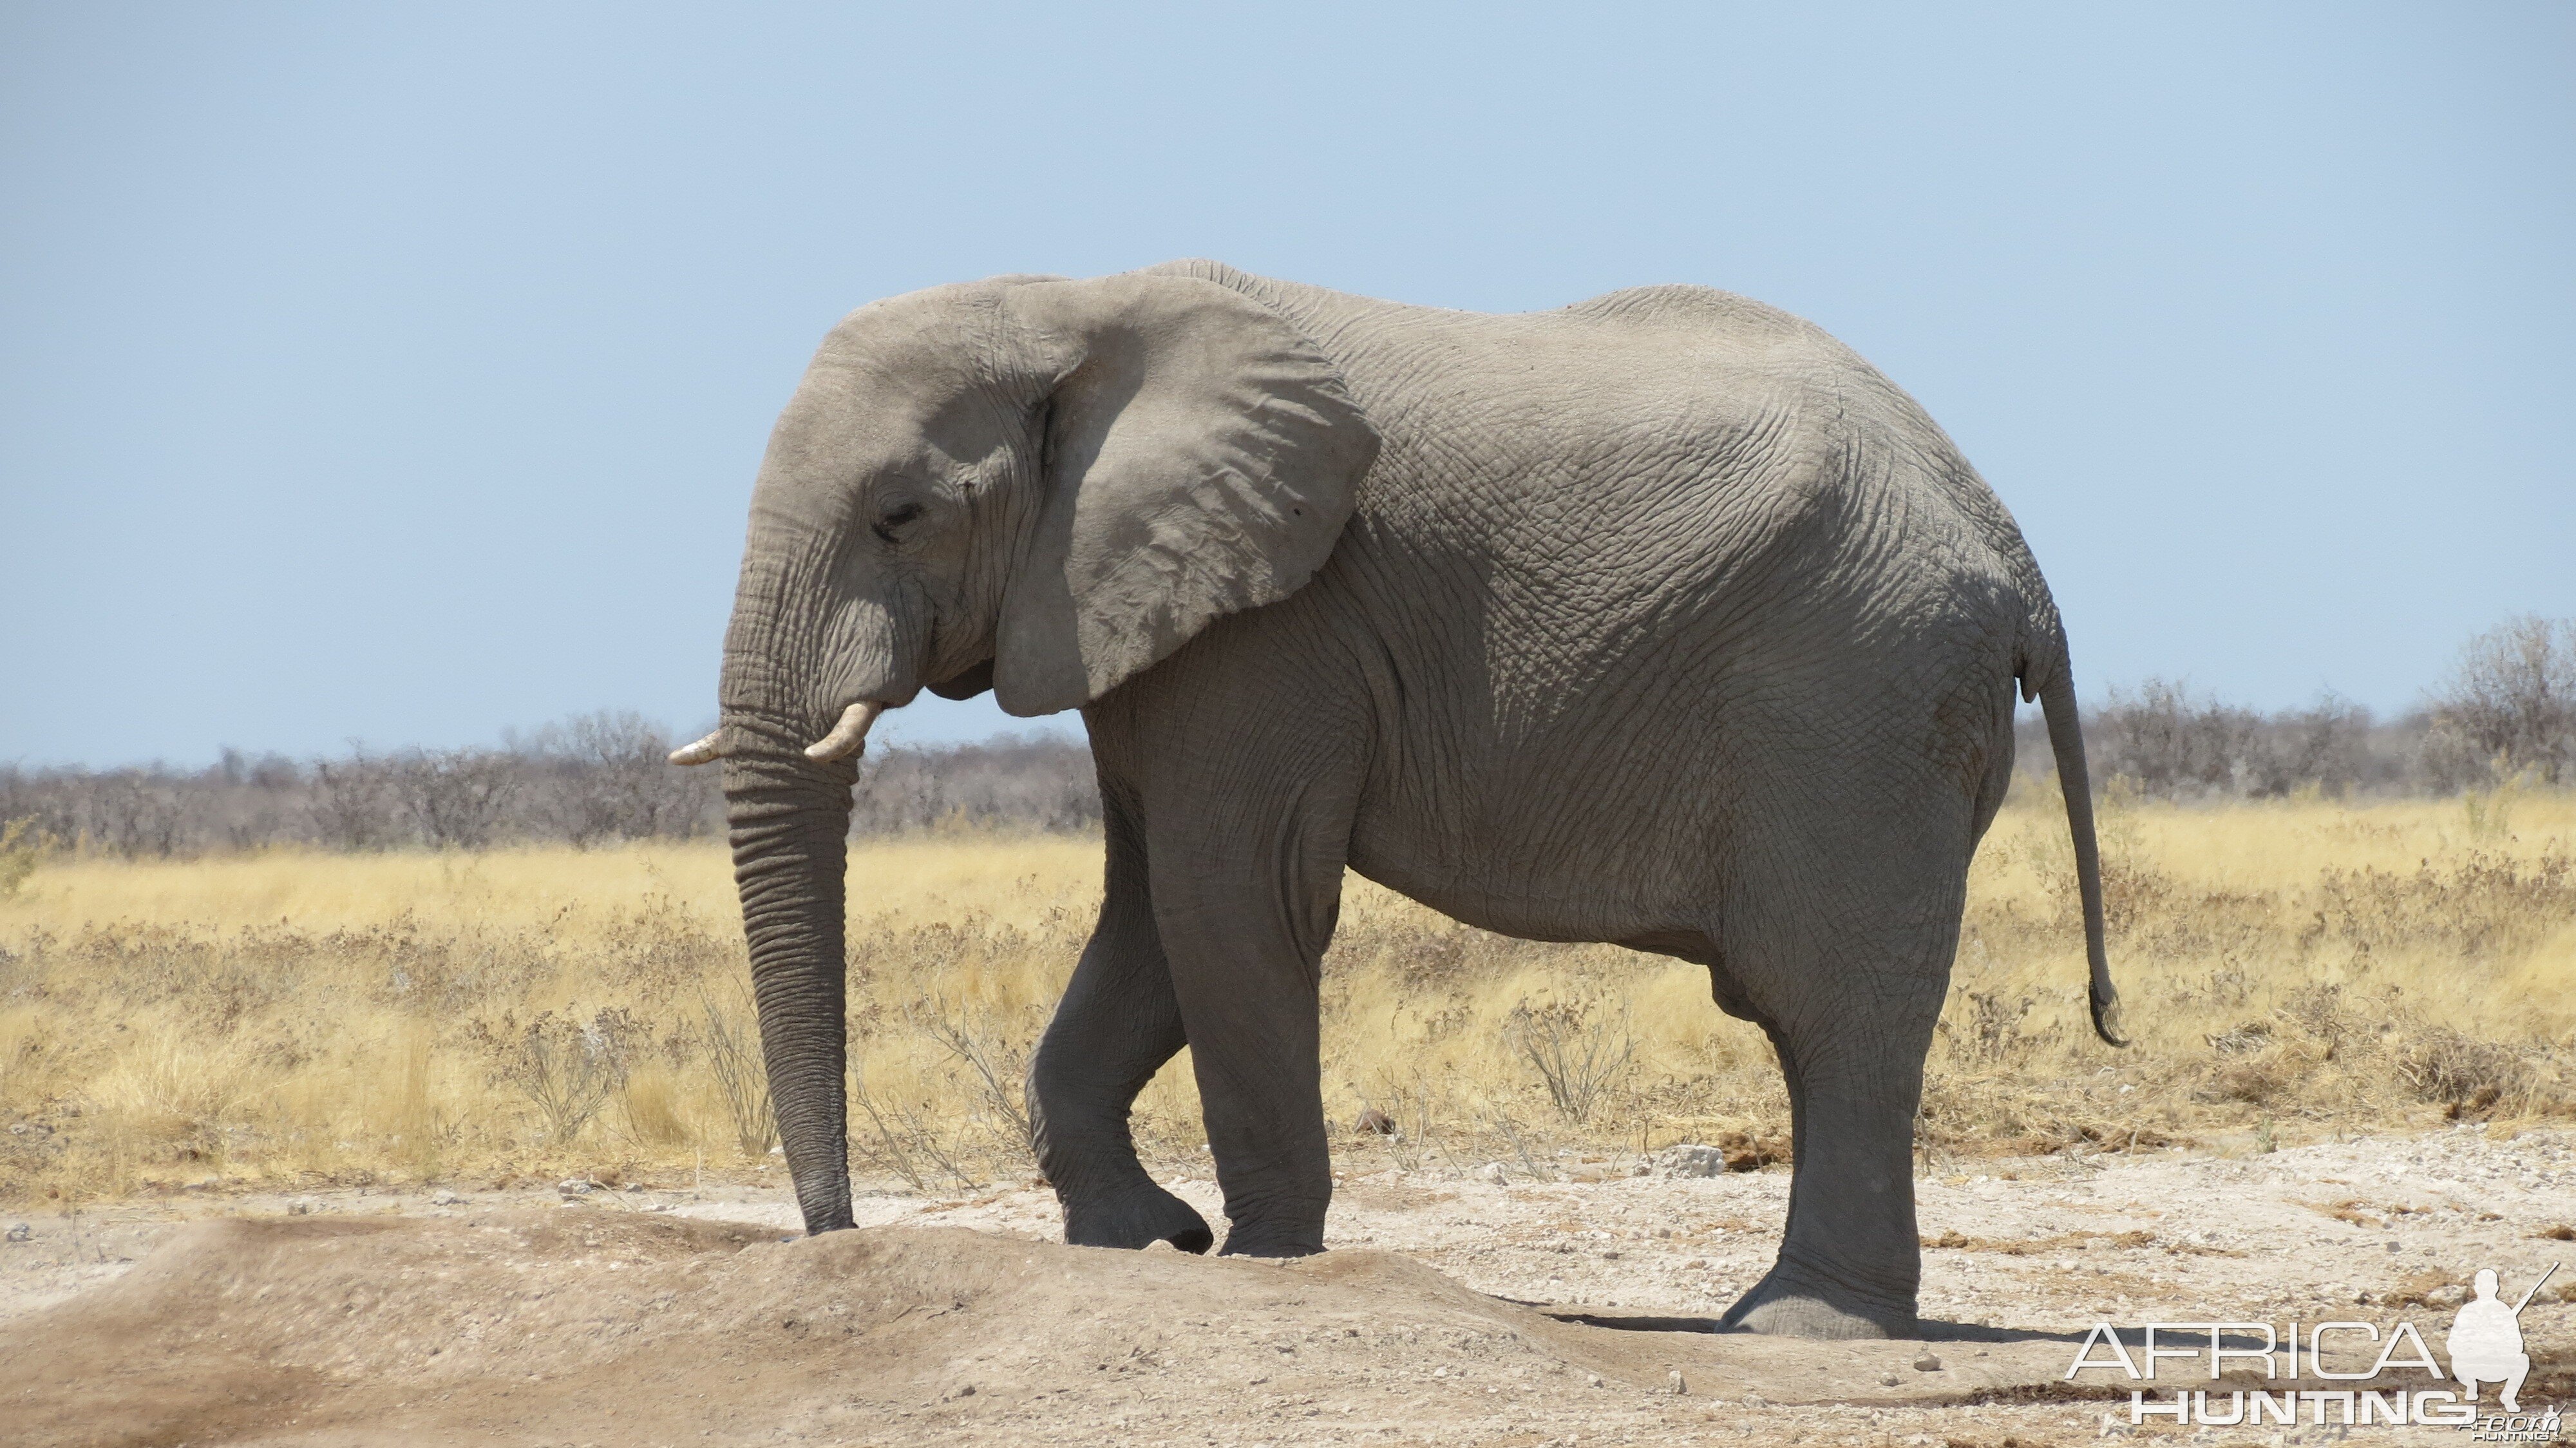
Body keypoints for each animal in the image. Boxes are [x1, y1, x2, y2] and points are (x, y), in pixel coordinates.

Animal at [675, 256, 2123, 1329]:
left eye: (902, 513)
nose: (838, 1237)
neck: (1074, 303)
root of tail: (2016, 558)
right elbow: (1151, 913)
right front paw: (1143, 1243)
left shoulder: (1280, 621)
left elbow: (1230, 899)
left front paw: (1260, 1265)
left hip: (1857, 708)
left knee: (1830, 1006)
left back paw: (1803, 1323)